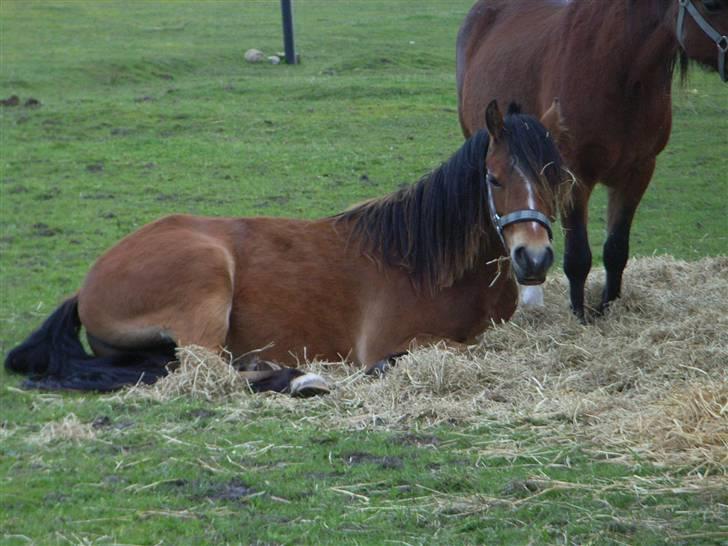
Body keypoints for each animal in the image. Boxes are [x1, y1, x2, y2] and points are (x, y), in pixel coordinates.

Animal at [5, 100, 569, 396]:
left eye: (554, 177)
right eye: (494, 179)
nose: (534, 258)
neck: (426, 260)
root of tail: (86, 286)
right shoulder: (387, 340)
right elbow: (457, 349)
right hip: (205, 277)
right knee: (206, 371)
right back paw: (302, 378)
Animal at [457, 0, 727, 320]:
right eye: (711, 5)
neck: (621, 74)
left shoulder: (639, 171)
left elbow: (616, 249)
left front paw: (608, 306)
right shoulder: (575, 174)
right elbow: (577, 255)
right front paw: (579, 315)